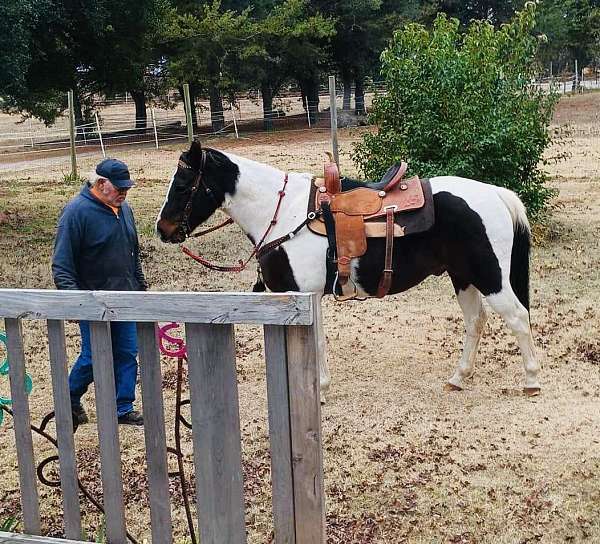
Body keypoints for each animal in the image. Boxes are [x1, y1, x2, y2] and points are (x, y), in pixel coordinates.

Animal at [157, 138, 540, 398]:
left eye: (183, 185)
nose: (163, 229)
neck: (284, 214)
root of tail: (495, 193)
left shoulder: (304, 297)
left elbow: (316, 344)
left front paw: (320, 390)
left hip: (491, 278)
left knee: (518, 317)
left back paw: (532, 380)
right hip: (463, 277)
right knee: (476, 321)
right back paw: (459, 377)